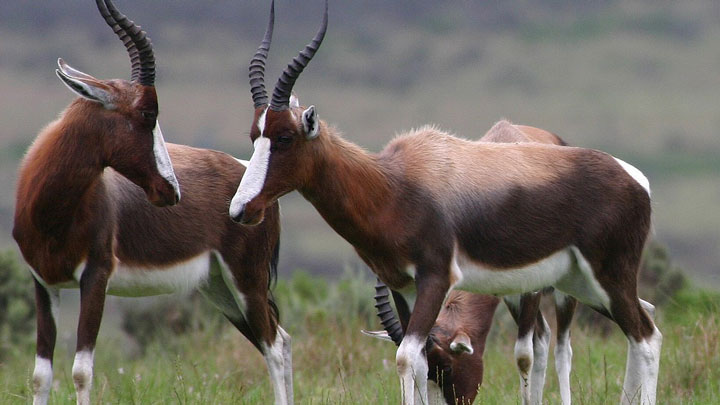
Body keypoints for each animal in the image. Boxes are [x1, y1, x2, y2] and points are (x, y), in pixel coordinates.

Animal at [14, 0, 292, 404]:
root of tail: (248, 177)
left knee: (274, 347)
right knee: (281, 339)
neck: (52, 212)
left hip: (247, 282)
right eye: (147, 112)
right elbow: (40, 374)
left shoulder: (95, 278)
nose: (170, 190)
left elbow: (81, 371)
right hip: (219, 288)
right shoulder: (43, 283)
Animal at [231, 1, 660, 402]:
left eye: (285, 136)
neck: (394, 184)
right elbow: (418, 361)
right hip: (582, 283)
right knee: (642, 327)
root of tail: (633, 177)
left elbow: (406, 359)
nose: (240, 210)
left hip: (603, 279)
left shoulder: (436, 278)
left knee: (646, 338)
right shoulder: (404, 287)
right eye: (255, 135)